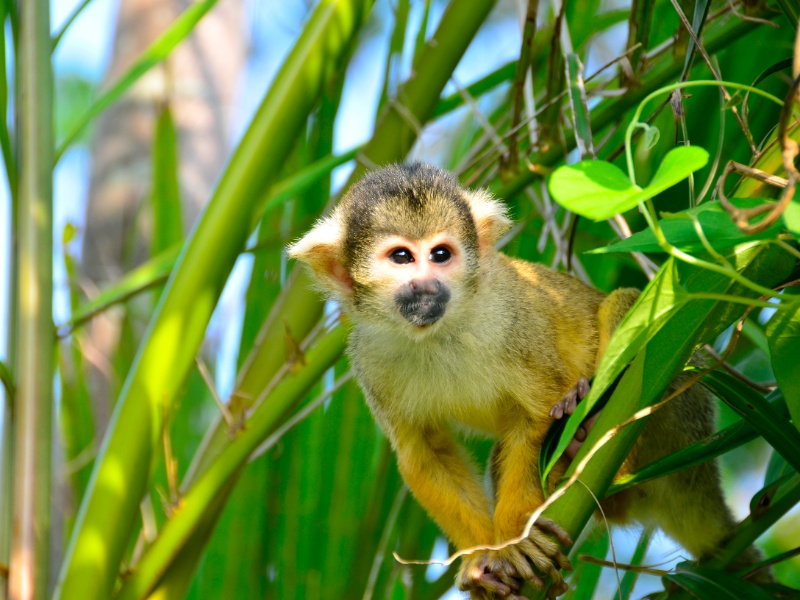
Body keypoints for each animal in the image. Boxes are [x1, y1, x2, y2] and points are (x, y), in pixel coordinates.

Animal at [290, 163, 768, 596]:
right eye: (402, 257)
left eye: (441, 255)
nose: (427, 286)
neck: (437, 332)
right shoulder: (369, 359)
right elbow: (423, 453)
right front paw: (482, 557)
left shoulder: (513, 322)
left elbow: (536, 417)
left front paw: (515, 542)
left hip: (681, 406)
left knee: (627, 306)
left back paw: (588, 435)